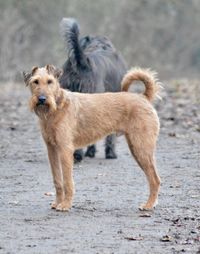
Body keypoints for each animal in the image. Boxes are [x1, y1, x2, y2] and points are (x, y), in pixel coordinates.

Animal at [23, 64, 161, 211]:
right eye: (35, 81)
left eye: (50, 81)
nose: (42, 99)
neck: (56, 108)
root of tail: (143, 97)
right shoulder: (52, 150)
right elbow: (57, 180)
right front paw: (57, 203)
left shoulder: (65, 150)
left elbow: (67, 182)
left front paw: (65, 205)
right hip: (137, 149)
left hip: (141, 149)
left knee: (155, 179)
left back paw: (149, 205)